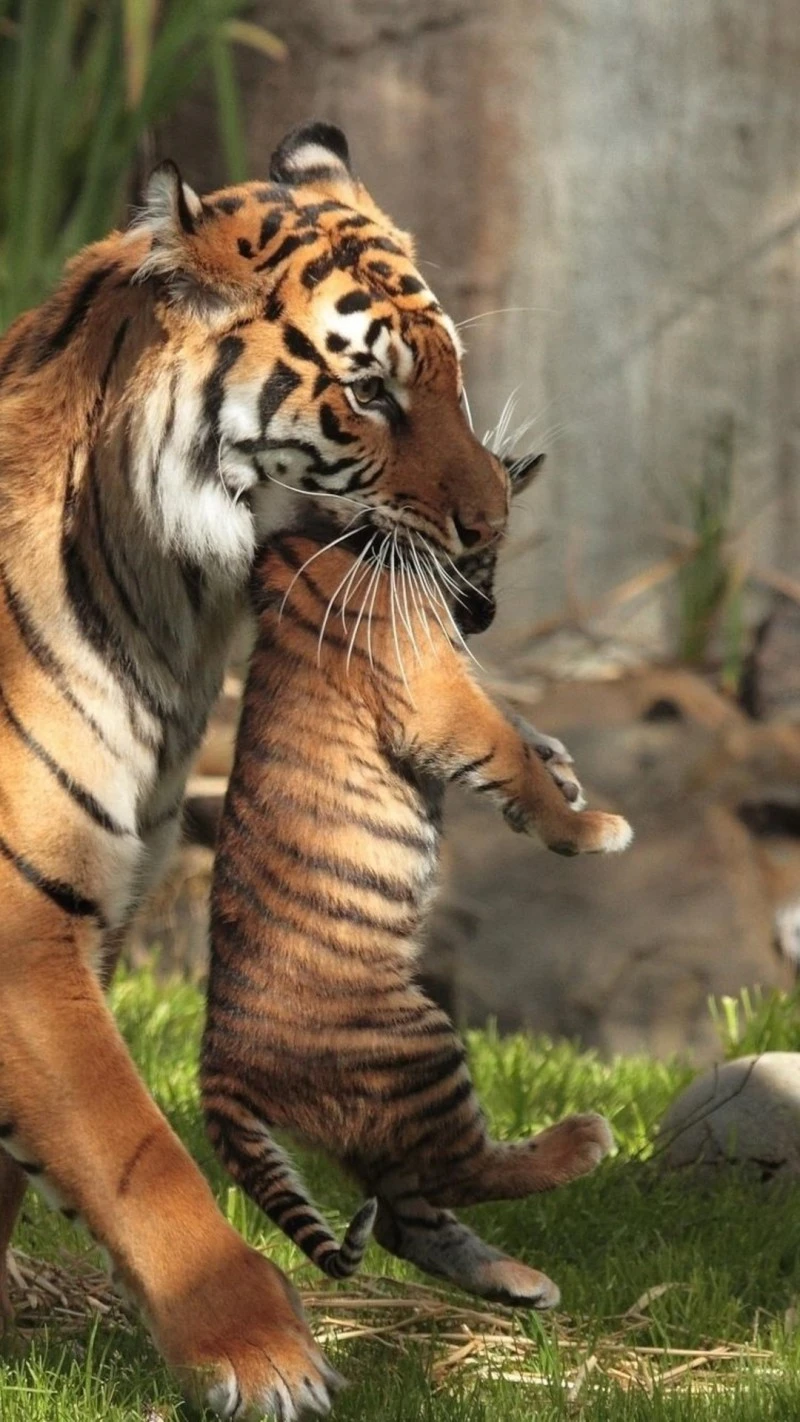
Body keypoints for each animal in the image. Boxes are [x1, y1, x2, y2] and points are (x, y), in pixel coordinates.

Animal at [0, 118, 587, 1418]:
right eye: (368, 391)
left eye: (452, 377)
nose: (492, 525)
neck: (170, 612)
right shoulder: (23, 922)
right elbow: (129, 1146)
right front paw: (260, 1354)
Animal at [201, 464, 632, 1310]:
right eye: (486, 546)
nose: (488, 619)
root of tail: (217, 1068)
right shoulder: (438, 701)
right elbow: (509, 756)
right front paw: (588, 826)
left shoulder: (454, 682)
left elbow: (521, 729)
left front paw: (564, 767)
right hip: (415, 1049)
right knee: (460, 1173)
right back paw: (582, 1142)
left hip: (387, 1112)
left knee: (409, 1219)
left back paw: (520, 1282)